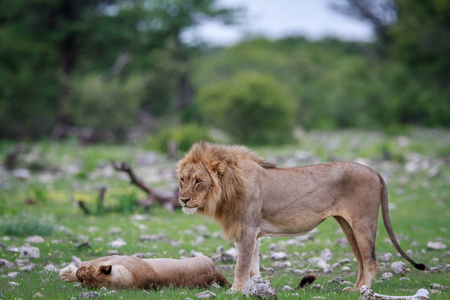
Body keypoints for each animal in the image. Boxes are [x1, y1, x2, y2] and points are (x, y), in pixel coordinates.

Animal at [177, 142, 426, 292]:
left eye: (198, 181)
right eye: (182, 179)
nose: (183, 200)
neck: (229, 187)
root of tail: (374, 171)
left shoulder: (247, 230)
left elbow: (241, 264)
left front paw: (236, 290)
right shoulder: (253, 233)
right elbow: (253, 265)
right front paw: (255, 287)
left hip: (363, 223)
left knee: (371, 261)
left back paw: (363, 290)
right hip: (348, 226)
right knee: (362, 261)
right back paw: (354, 290)